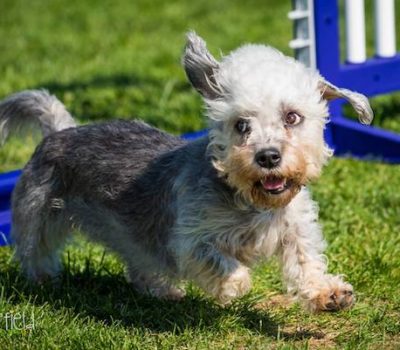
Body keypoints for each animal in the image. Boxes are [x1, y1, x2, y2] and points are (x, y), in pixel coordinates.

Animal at [0, 32, 372, 312]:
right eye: (241, 125)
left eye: (292, 117)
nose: (268, 157)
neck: (253, 202)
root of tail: (59, 131)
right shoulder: (189, 239)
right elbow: (220, 261)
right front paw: (233, 286)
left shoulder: (295, 228)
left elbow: (305, 261)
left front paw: (328, 292)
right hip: (39, 214)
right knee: (35, 252)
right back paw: (43, 282)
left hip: (130, 236)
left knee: (140, 265)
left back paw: (163, 292)